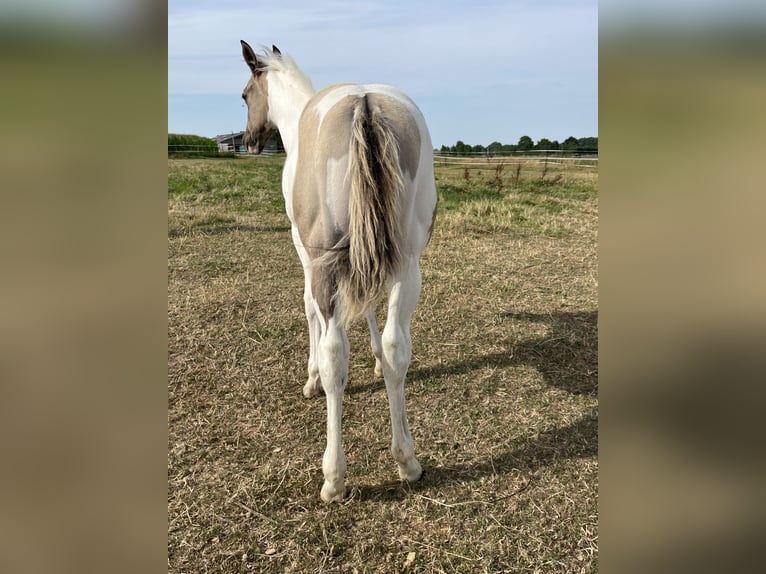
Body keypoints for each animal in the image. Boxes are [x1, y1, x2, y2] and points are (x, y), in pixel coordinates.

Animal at [240, 41, 437, 502]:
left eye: (245, 95)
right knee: (398, 345)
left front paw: (310, 378)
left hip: (325, 264)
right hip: (407, 264)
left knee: (334, 355)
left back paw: (334, 477)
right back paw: (407, 461)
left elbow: (309, 311)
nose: (249, 141)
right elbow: (368, 311)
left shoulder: (307, 257)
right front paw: (377, 362)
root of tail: (364, 103)